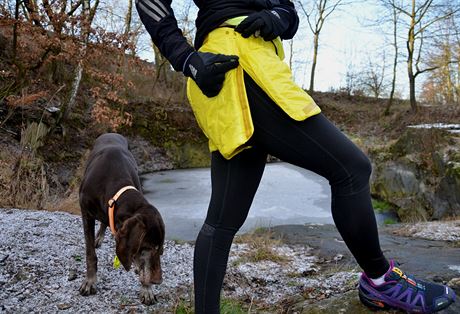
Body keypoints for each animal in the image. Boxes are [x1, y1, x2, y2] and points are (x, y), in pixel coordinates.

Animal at [79, 132, 165, 304]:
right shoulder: (85, 212)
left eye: (160, 249)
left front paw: (147, 289)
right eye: (148, 247)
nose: (158, 281)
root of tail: (111, 132)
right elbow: (90, 254)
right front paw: (90, 281)